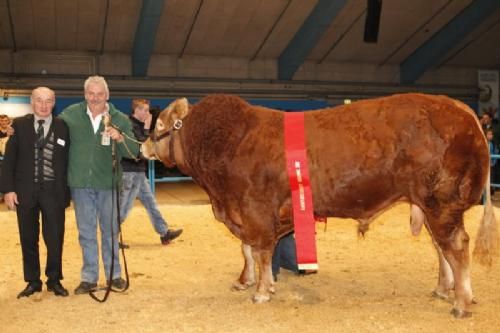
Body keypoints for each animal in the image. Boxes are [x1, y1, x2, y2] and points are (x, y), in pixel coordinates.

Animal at [143, 92, 498, 316]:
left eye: (159, 125)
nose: (144, 146)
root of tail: (458, 107)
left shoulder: (254, 209)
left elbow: (258, 251)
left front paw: (261, 291)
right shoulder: (246, 213)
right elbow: (250, 251)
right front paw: (251, 282)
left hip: (442, 202)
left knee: (456, 246)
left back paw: (461, 302)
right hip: (429, 205)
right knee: (441, 248)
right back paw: (444, 289)